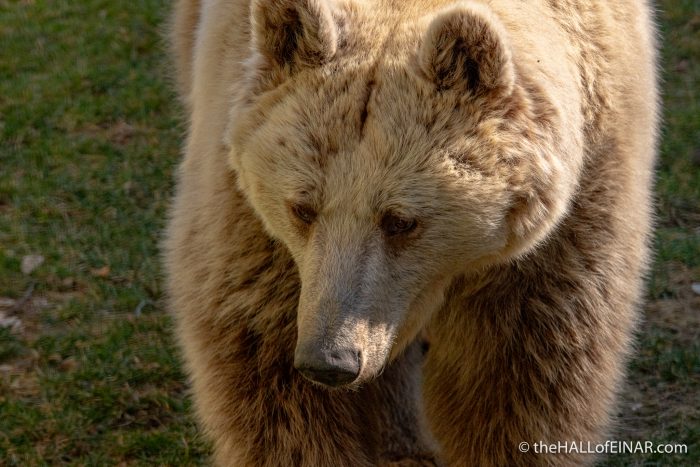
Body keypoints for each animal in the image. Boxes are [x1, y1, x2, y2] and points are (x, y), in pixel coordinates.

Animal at [164, 0, 659, 465]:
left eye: (400, 220)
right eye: (302, 208)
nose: (331, 360)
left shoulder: (567, 220)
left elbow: (524, 377)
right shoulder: (254, 227)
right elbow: (264, 360)